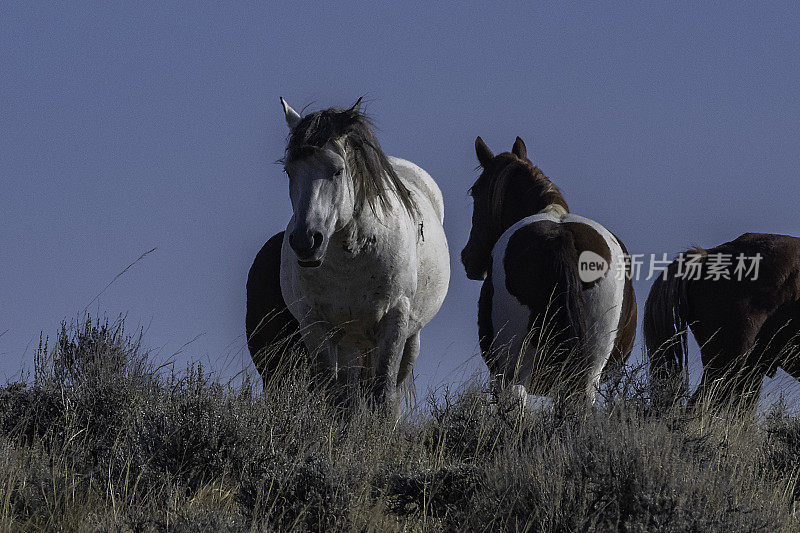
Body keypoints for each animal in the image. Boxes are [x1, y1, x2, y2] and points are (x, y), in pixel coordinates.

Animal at [276, 96, 450, 412]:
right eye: (289, 171)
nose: (306, 242)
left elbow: (383, 394)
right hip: (350, 341)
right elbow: (335, 396)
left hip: (409, 339)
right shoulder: (315, 326)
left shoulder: (395, 322)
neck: (351, 260)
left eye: (337, 170)